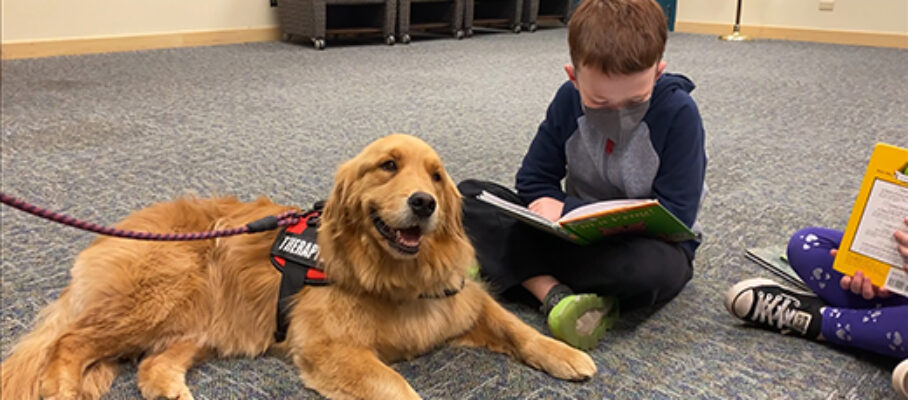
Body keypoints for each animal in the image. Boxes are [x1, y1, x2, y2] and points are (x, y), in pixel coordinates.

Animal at [1, 134, 596, 400]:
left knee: (152, 364)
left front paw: (565, 352)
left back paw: (170, 391)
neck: (394, 273)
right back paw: (64, 389)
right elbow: (398, 388)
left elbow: (517, 328)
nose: (425, 203)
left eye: (436, 175)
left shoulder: (461, 302)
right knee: (69, 344)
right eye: (388, 166)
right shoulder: (329, 347)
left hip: (206, 322)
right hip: (160, 295)